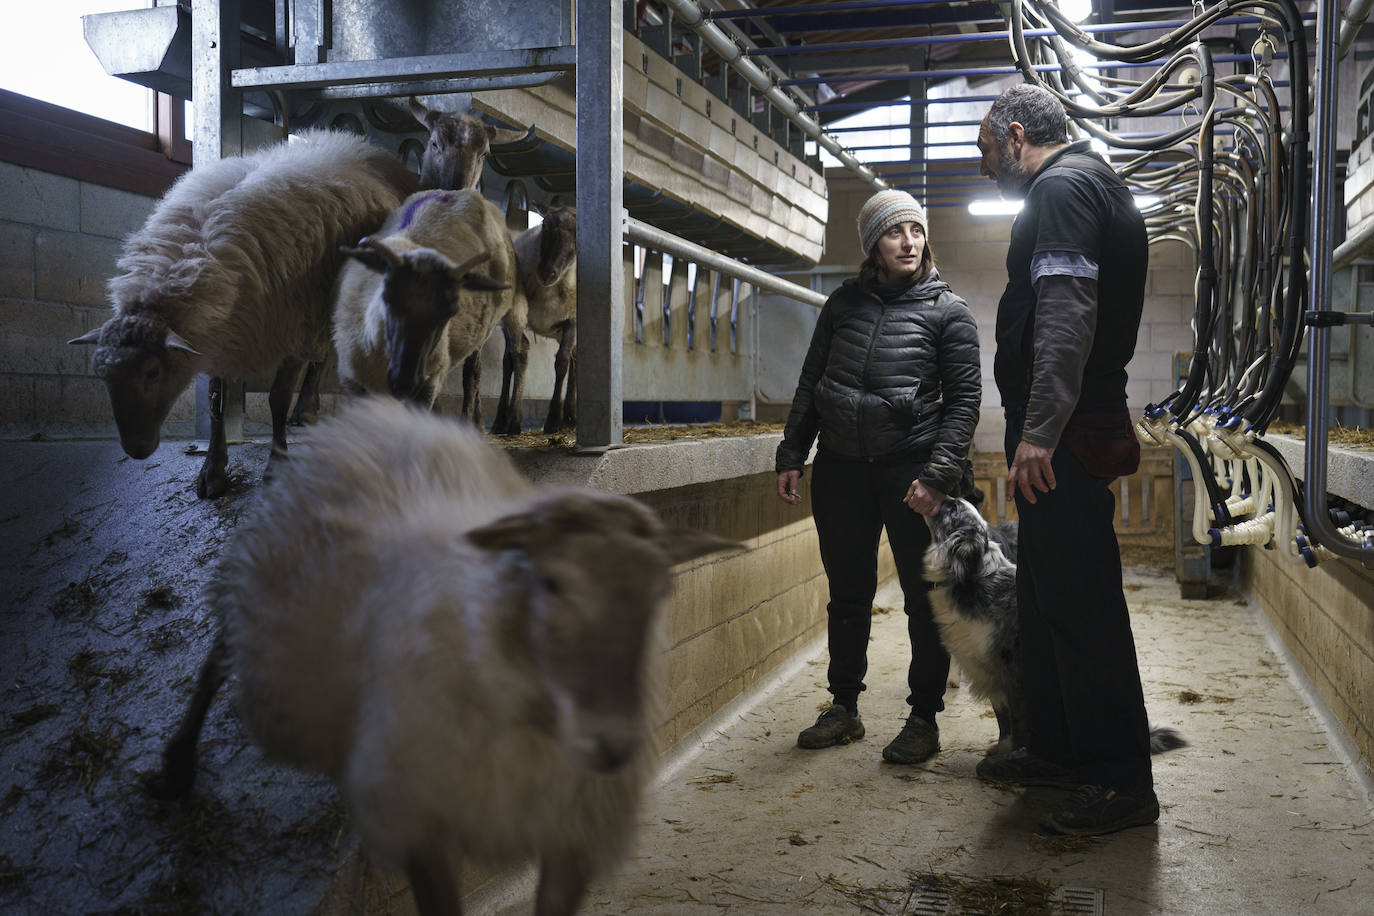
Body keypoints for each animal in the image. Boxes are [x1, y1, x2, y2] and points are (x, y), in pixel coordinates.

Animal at [69, 128, 414, 497]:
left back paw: (309, 406)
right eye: (101, 375)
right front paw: (213, 469)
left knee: (323, 358)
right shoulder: (225, 337)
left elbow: (277, 399)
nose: (137, 449)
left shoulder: (292, 328)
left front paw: (276, 463)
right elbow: (216, 402)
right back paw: (306, 409)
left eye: (152, 372)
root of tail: (360, 144)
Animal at [149, 398, 741, 916]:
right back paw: (177, 765)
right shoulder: (420, 821)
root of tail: (378, 412)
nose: (613, 746)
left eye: (662, 590)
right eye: (551, 582)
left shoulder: (572, 837)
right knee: (216, 660)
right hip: (257, 599)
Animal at [329, 186, 516, 409]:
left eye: (452, 311)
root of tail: (463, 191)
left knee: (473, 374)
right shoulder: (353, 383)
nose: (405, 382)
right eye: (387, 296)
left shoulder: (429, 382)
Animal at [491, 207, 577, 436]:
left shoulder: (572, 320)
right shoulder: (513, 316)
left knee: (574, 360)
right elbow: (515, 358)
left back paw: (570, 416)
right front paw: (509, 420)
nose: (547, 273)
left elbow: (562, 363)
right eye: (545, 224)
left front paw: (553, 420)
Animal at [923, 497, 1181, 758]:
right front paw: (1002, 748)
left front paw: (1013, 753)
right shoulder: (990, 672)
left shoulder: (1010, 672)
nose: (938, 493)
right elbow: (1003, 720)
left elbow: (1017, 721)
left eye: (953, 508)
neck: (973, 577)